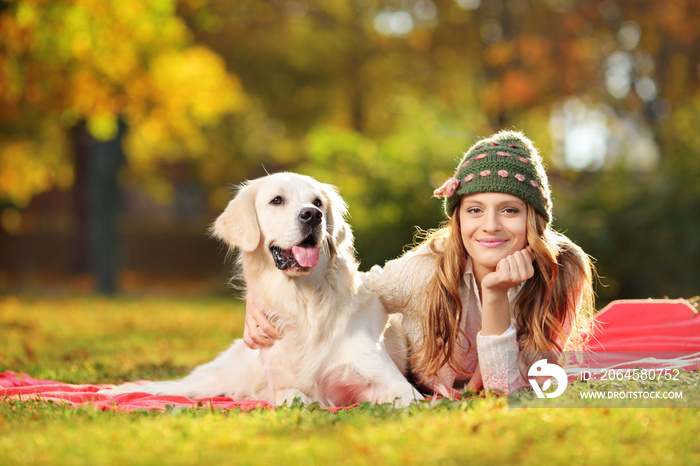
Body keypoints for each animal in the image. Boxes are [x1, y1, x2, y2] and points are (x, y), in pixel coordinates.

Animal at [103, 172, 422, 408]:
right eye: (276, 200)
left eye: (318, 202)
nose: (312, 215)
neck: (305, 302)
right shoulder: (285, 384)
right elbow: (297, 398)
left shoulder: (395, 384)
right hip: (221, 375)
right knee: (178, 386)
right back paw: (117, 391)